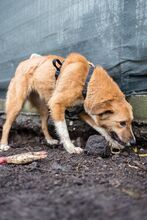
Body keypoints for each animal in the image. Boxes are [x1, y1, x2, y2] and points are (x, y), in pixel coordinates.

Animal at [0, 52, 136, 153]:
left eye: (131, 122)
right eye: (122, 123)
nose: (134, 142)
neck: (88, 81)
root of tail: (25, 62)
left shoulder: (82, 111)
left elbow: (102, 129)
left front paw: (113, 143)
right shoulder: (57, 104)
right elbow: (64, 130)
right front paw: (71, 148)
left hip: (46, 107)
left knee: (43, 124)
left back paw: (50, 140)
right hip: (17, 104)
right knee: (7, 124)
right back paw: (3, 145)